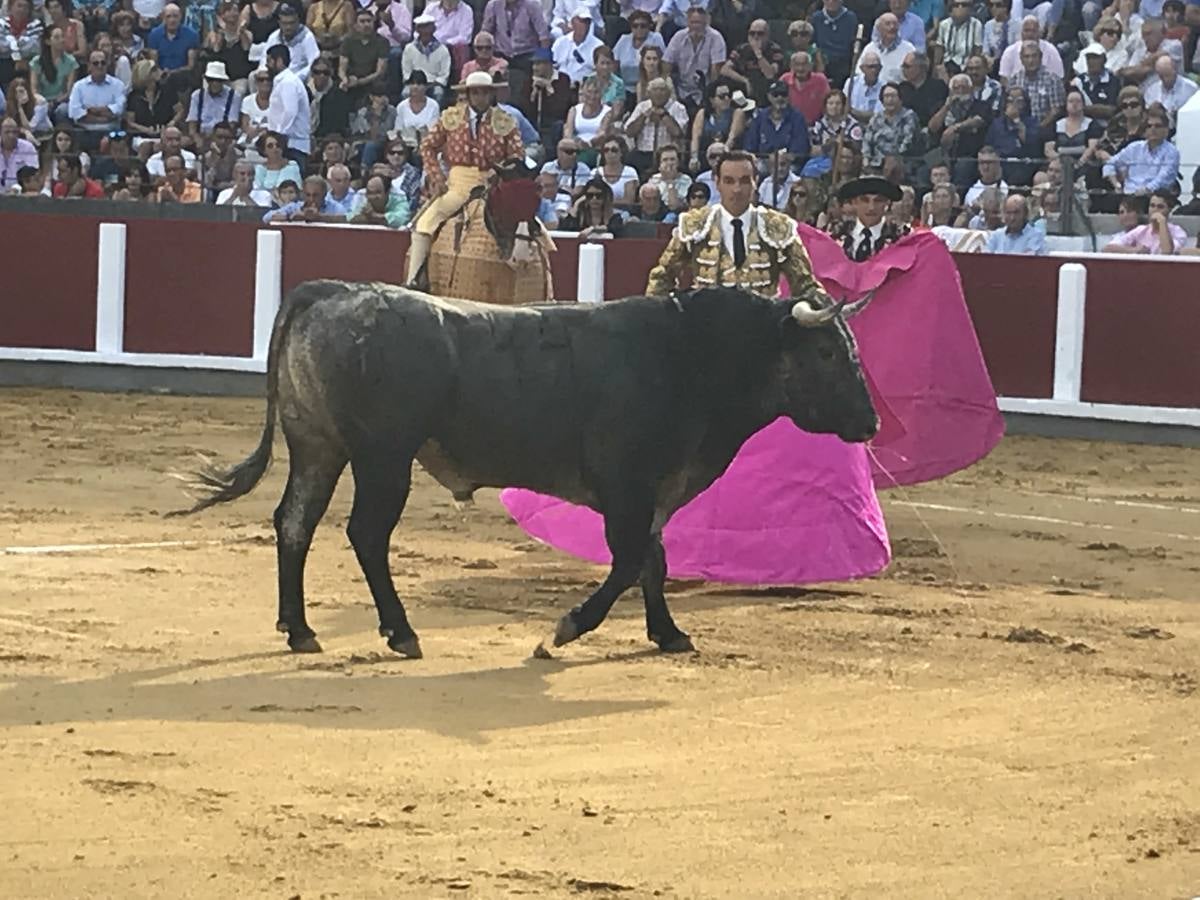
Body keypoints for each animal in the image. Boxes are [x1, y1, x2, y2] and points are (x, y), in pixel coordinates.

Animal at [174, 282, 878, 662]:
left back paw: (299, 631)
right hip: (384, 457)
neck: (690, 355)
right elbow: (630, 561)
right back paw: (401, 633)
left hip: (318, 445)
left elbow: (654, 560)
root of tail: (332, 291)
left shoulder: (655, 490)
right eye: (824, 351)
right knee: (365, 534)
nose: (871, 425)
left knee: (294, 521)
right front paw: (564, 630)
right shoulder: (627, 486)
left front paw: (669, 634)